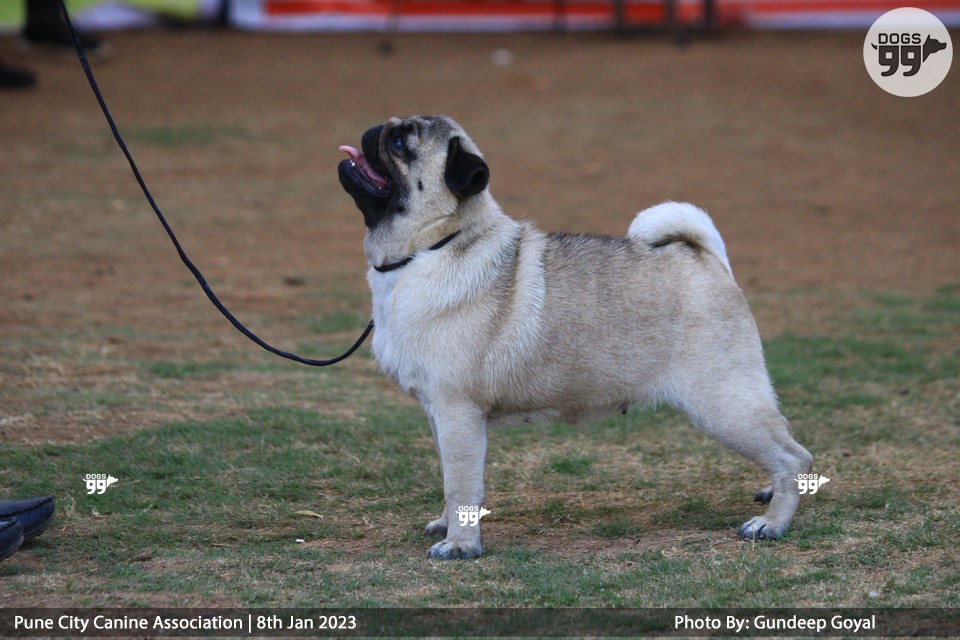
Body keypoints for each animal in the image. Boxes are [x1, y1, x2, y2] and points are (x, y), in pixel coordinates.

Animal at [338, 115, 813, 559]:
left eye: (401, 143)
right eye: (392, 130)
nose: (375, 130)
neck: (431, 247)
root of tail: (705, 258)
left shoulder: (458, 412)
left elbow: (461, 486)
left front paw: (460, 545)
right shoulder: (439, 413)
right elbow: (448, 479)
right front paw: (446, 525)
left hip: (722, 403)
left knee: (794, 456)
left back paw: (772, 523)